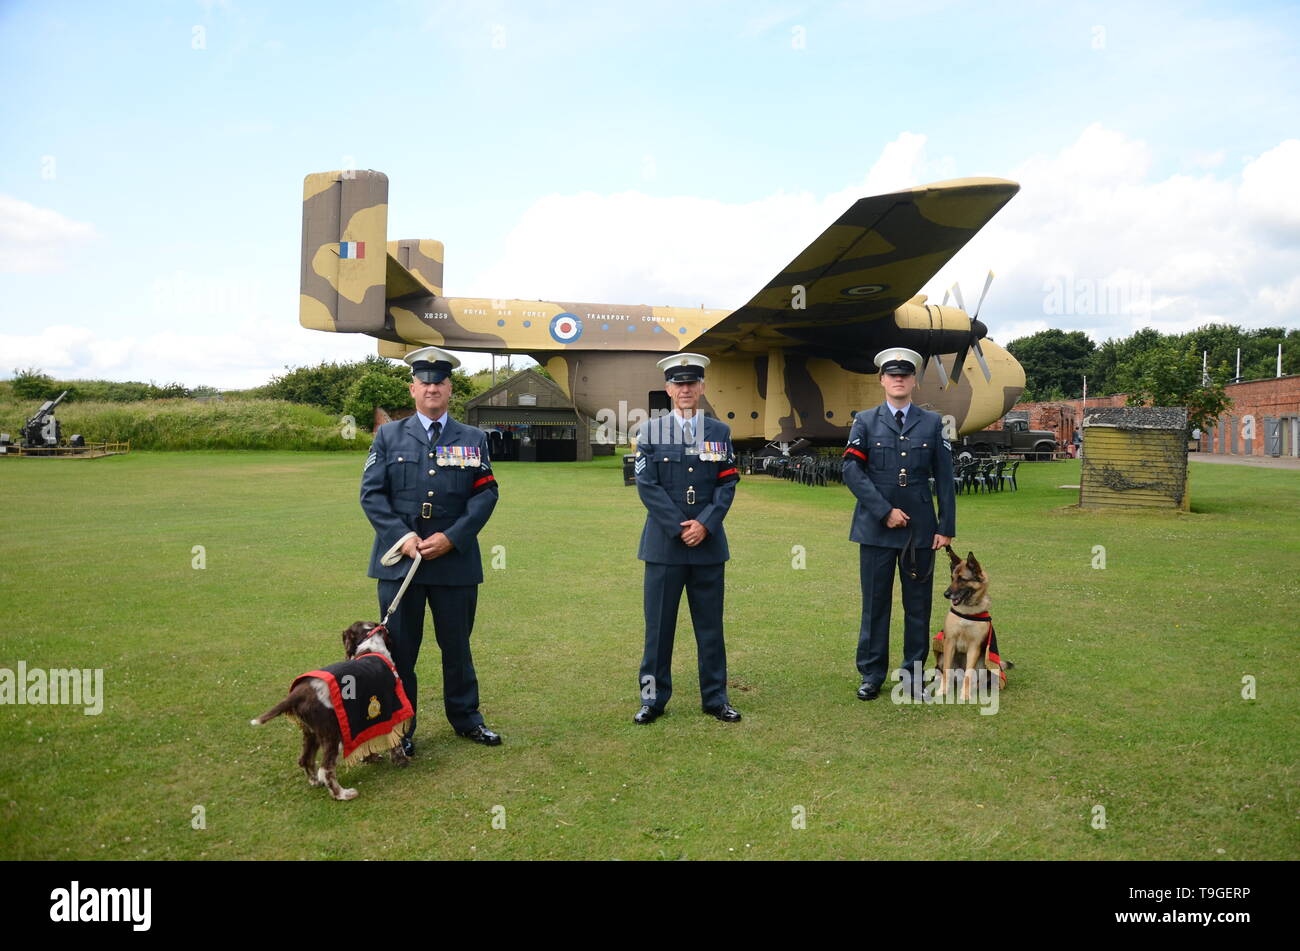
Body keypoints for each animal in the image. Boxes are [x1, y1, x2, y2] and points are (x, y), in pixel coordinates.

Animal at [935, 545, 1003, 701]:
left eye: (962, 579)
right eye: (952, 578)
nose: (946, 594)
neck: (967, 611)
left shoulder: (974, 647)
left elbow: (968, 674)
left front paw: (965, 694)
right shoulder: (949, 642)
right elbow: (946, 670)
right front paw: (942, 690)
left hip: (983, 664)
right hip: (942, 656)